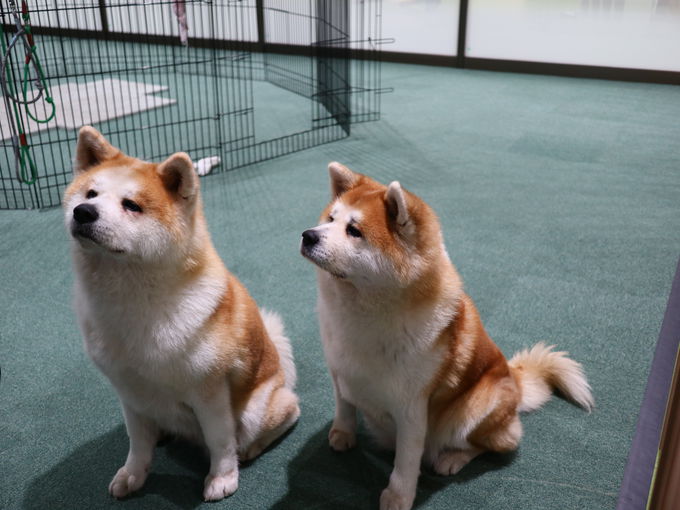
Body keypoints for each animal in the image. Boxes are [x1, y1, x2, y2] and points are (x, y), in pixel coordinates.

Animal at [63, 125, 298, 500]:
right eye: (90, 193)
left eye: (131, 206)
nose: (84, 212)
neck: (134, 303)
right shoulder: (129, 391)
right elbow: (137, 443)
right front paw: (133, 475)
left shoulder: (209, 393)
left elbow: (220, 442)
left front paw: (222, 478)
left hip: (256, 411)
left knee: (286, 414)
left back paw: (250, 447)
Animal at [300, 162, 592, 510]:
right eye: (330, 219)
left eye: (354, 231)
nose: (308, 235)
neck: (362, 313)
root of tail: (517, 383)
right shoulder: (339, 370)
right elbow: (344, 406)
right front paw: (343, 435)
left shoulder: (411, 408)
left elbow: (406, 462)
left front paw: (397, 497)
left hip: (476, 407)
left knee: (493, 443)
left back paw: (452, 458)